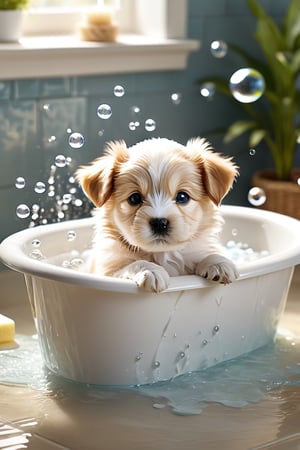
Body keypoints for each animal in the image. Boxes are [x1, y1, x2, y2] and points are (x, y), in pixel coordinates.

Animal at [77, 137, 239, 292]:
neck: (163, 253)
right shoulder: (106, 271)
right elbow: (135, 263)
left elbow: (207, 253)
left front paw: (218, 263)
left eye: (182, 197)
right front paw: (150, 270)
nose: (160, 223)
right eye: (134, 198)